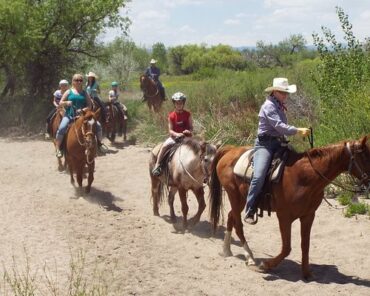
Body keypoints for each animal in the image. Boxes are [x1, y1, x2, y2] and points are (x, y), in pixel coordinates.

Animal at [210, 135, 368, 278]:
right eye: (366, 156)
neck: (304, 177)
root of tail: (230, 150)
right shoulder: (284, 217)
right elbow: (286, 248)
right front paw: (265, 265)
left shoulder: (308, 216)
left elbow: (305, 245)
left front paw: (307, 273)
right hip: (235, 196)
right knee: (238, 225)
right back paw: (249, 257)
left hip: (240, 200)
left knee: (231, 216)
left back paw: (226, 250)